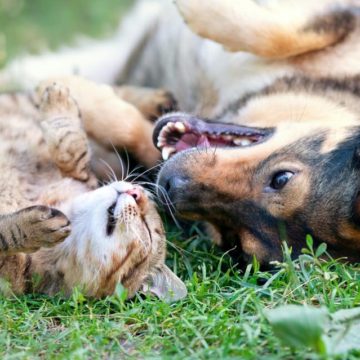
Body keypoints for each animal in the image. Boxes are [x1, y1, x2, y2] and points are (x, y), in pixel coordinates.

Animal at [0, 77, 186, 302]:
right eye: (147, 197)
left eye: (148, 231)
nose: (136, 192)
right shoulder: (79, 174)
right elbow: (72, 148)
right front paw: (59, 103)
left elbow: (4, 235)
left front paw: (34, 228)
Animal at [2, 0, 360, 264]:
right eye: (281, 178)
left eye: (233, 237)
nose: (169, 186)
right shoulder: (336, 19)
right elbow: (284, 32)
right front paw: (198, 8)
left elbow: (131, 130)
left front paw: (78, 94)